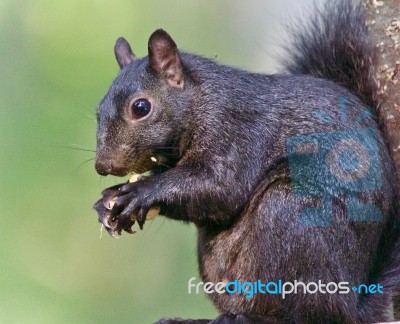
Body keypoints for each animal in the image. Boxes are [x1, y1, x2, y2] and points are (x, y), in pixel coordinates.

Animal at [94, 1, 400, 322]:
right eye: (98, 110)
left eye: (141, 107)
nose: (103, 166)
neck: (199, 100)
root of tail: (354, 305)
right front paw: (107, 202)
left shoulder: (235, 130)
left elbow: (221, 189)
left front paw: (140, 192)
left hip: (290, 215)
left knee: (308, 313)